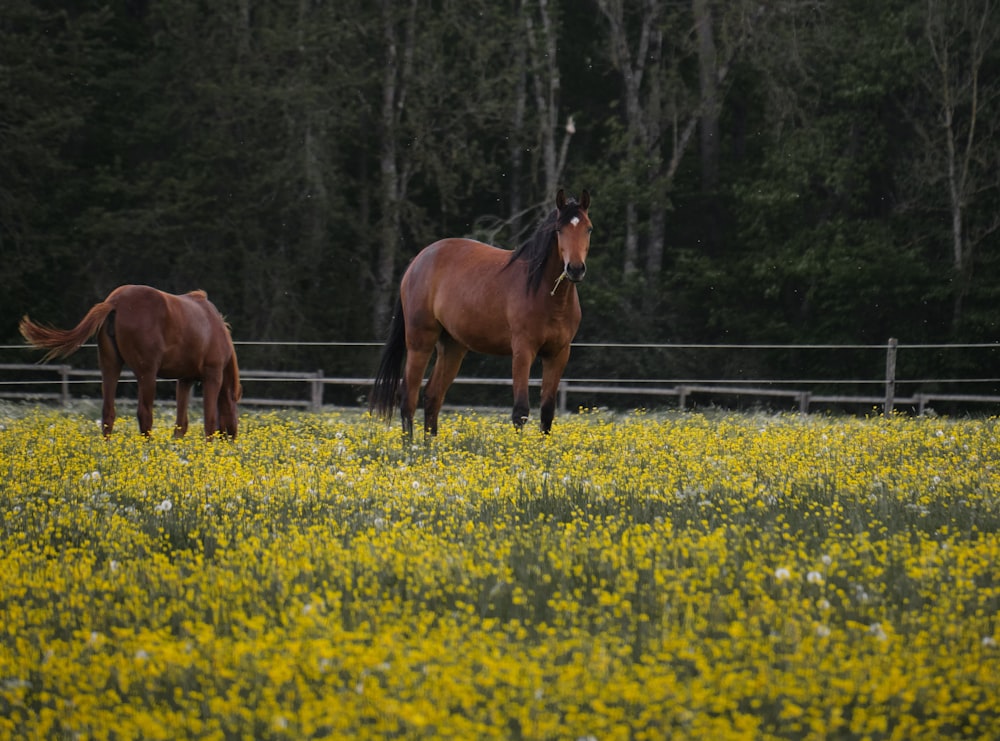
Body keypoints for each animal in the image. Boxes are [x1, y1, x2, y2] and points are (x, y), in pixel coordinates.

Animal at [19, 282, 242, 434]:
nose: (233, 440)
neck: (214, 325)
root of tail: (115, 302)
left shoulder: (184, 380)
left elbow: (181, 424)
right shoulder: (212, 376)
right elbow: (209, 421)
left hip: (110, 367)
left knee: (108, 413)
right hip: (147, 374)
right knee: (145, 415)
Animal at [374, 188, 592, 436]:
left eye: (588, 228)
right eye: (559, 230)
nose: (575, 269)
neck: (547, 295)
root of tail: (418, 261)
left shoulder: (558, 354)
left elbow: (546, 413)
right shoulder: (523, 350)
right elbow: (521, 411)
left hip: (452, 347)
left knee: (432, 397)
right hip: (420, 342)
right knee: (407, 398)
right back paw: (410, 446)